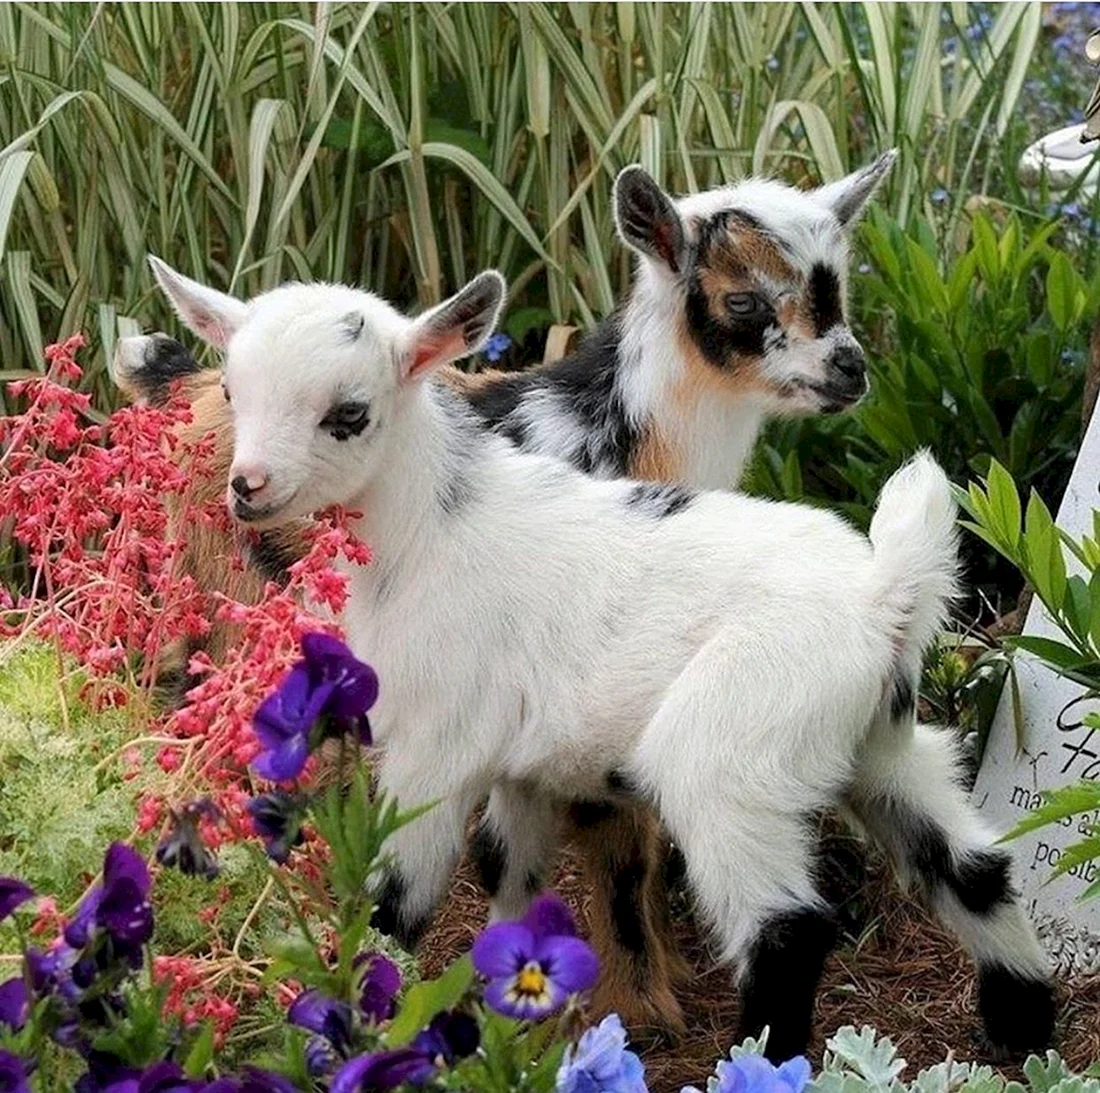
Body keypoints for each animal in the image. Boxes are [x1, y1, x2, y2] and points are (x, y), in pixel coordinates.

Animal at [113, 155, 896, 1035]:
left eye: (838, 285)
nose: (850, 370)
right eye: (744, 299)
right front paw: (640, 1001)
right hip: (233, 601)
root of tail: (183, 384)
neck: (615, 432)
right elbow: (612, 834)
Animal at [148, 261, 1055, 1062]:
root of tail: (883, 592)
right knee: (970, 864)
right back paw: (1024, 1031)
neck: (426, 527)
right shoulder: (524, 762)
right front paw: (508, 1018)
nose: (247, 487)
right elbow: (509, 872)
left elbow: (398, 893)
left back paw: (764, 1059)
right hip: (877, 741)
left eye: (349, 412)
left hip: (734, 745)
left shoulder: (440, 741)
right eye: (235, 393)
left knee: (788, 928)